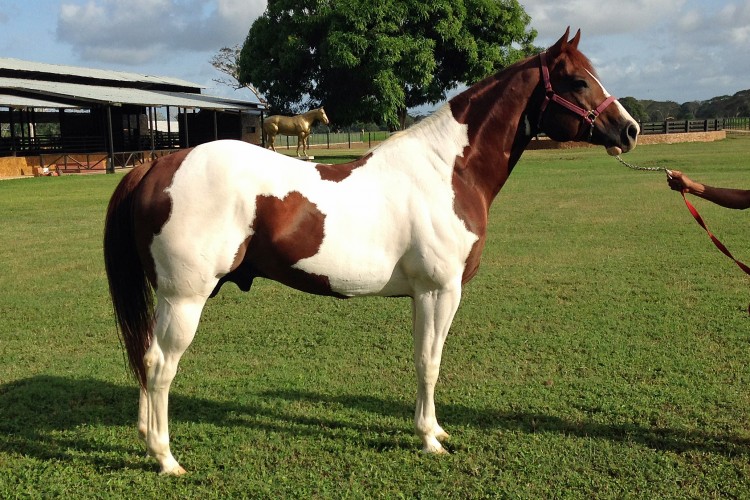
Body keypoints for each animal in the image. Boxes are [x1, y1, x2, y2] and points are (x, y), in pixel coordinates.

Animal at [103, 28, 639, 475]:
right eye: (576, 81)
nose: (629, 130)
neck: (447, 172)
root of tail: (154, 167)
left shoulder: (427, 295)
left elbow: (424, 359)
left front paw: (434, 429)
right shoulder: (439, 291)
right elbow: (430, 362)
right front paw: (429, 440)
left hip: (170, 298)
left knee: (146, 359)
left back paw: (147, 439)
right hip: (185, 298)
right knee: (160, 366)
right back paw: (166, 457)